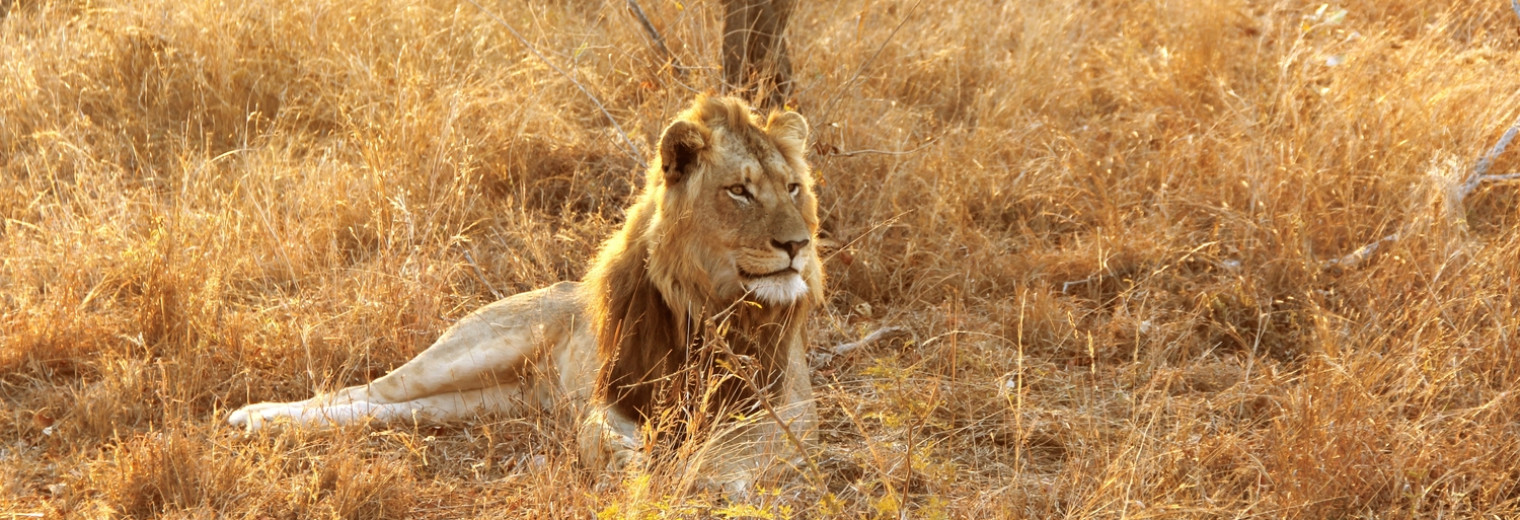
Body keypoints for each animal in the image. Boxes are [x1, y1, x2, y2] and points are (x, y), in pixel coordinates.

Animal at [224, 96, 820, 492]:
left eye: (793, 188)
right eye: (739, 192)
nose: (798, 245)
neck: (709, 303)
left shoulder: (789, 407)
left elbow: (737, 449)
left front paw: (707, 479)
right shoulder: (614, 395)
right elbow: (598, 435)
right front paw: (632, 469)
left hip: (488, 400)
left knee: (387, 410)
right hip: (471, 350)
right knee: (362, 390)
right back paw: (257, 417)